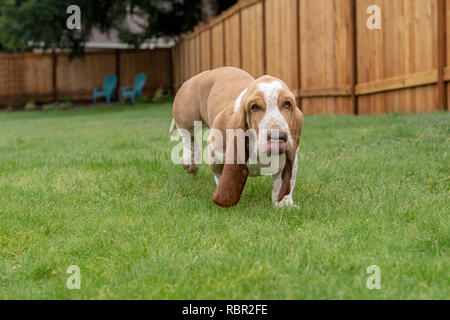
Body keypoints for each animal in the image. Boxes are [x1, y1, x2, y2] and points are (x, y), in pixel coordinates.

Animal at [171, 66, 304, 209]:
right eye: (255, 107)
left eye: (287, 104)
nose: (278, 137)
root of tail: (203, 73)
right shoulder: (216, 151)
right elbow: (219, 174)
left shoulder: (292, 157)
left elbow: (283, 182)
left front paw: (284, 204)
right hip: (187, 117)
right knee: (188, 136)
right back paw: (190, 161)